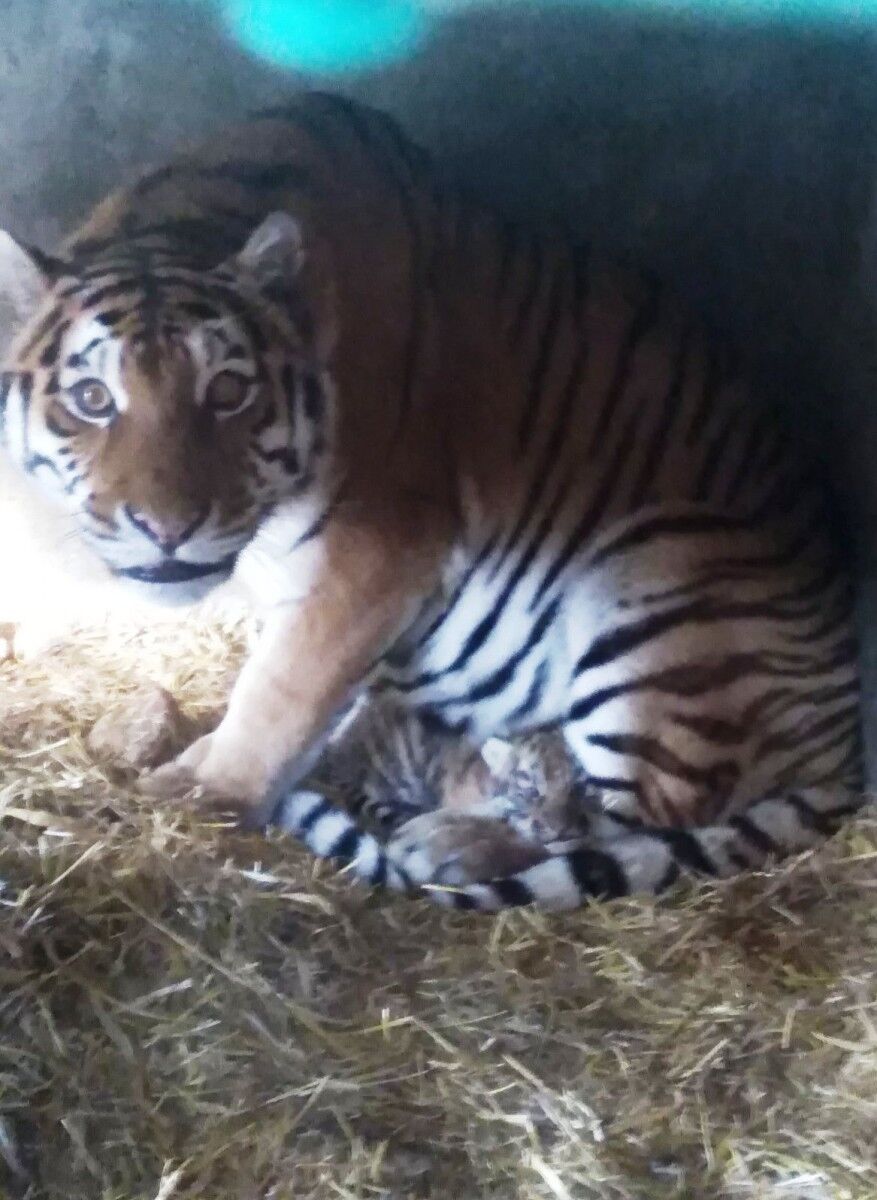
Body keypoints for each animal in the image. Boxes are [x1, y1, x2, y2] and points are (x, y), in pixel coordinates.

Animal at [0, 91, 863, 907]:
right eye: (91, 398)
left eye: (228, 392)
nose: (166, 529)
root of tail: (845, 747)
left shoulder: (375, 551)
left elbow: (279, 693)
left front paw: (201, 800)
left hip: (654, 586)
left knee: (615, 818)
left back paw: (447, 842)